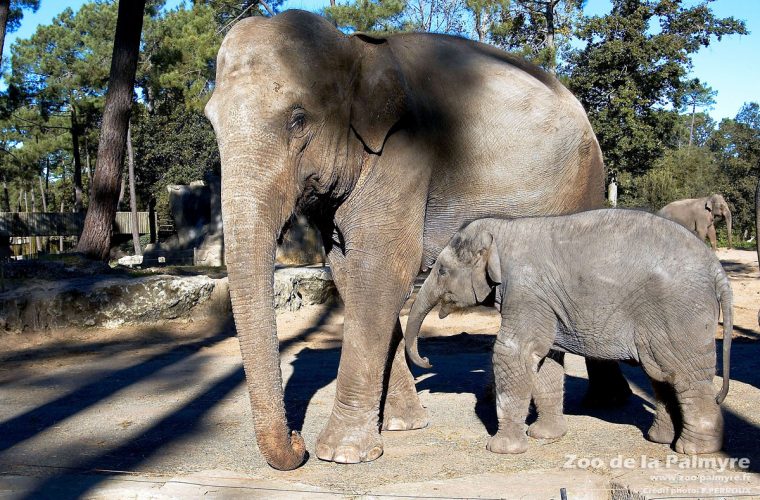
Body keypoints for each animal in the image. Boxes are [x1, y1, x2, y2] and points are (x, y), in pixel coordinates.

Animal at [203, 11, 628, 472]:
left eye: (298, 119)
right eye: (212, 122)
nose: (297, 444)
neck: (354, 50)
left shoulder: (404, 156)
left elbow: (380, 269)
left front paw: (341, 453)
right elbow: (349, 274)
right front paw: (402, 425)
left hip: (586, 181)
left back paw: (606, 403)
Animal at [406, 209, 732, 456]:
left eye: (442, 271)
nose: (427, 362)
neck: (504, 228)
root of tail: (717, 269)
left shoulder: (526, 292)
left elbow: (513, 353)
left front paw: (501, 449)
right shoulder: (545, 302)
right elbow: (547, 359)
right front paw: (545, 436)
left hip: (680, 315)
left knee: (683, 376)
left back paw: (693, 450)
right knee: (660, 374)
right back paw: (660, 439)